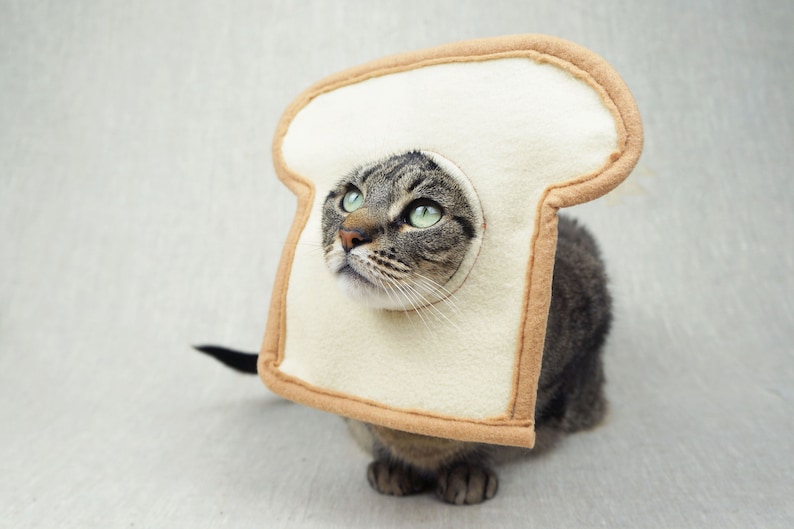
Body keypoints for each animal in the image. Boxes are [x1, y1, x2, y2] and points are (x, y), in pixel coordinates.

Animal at [196, 150, 608, 504]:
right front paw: (392, 465)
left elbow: (494, 439)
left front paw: (467, 469)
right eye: (351, 199)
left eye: (424, 213)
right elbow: (367, 423)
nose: (348, 235)